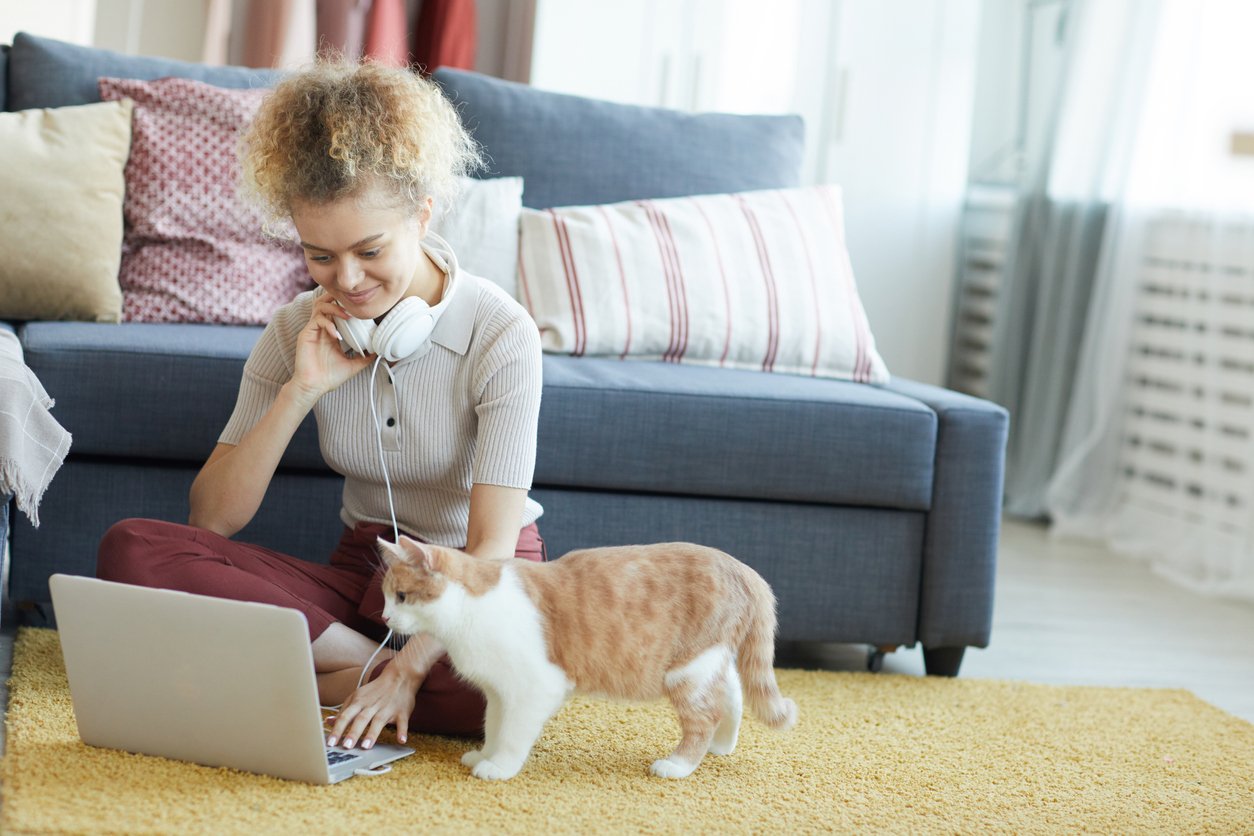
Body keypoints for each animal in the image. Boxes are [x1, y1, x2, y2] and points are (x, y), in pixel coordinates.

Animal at [376, 538, 797, 782]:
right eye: (385, 596)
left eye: (401, 596)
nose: (384, 617)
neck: (470, 611)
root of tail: (742, 568)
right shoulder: (498, 693)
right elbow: (493, 726)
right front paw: (485, 753)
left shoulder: (535, 688)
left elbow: (512, 734)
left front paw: (500, 766)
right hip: (707, 661)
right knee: (734, 694)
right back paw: (722, 745)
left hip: (687, 671)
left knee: (705, 716)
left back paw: (679, 764)